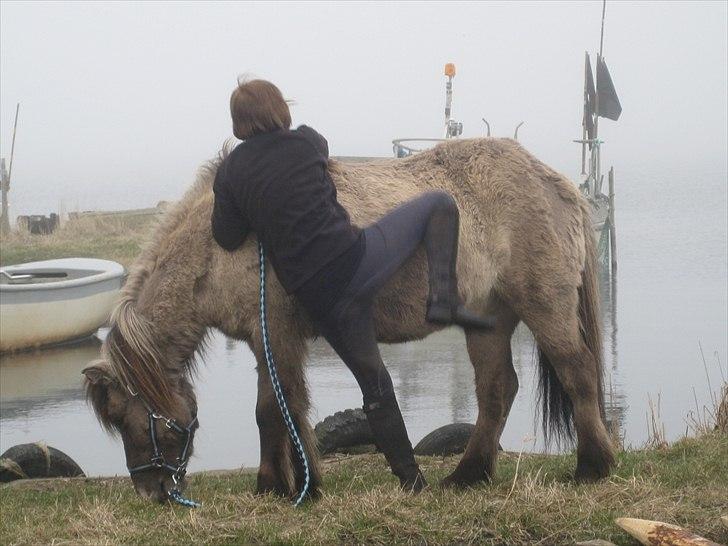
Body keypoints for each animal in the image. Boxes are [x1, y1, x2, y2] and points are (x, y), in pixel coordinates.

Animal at [82, 137, 616, 502]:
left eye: (128, 418)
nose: (152, 492)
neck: (220, 248)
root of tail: (560, 184)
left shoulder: (279, 335)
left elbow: (277, 409)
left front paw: (294, 485)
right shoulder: (263, 341)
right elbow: (274, 409)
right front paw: (279, 485)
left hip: (545, 307)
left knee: (578, 371)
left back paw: (593, 466)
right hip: (488, 321)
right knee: (497, 390)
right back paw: (467, 476)